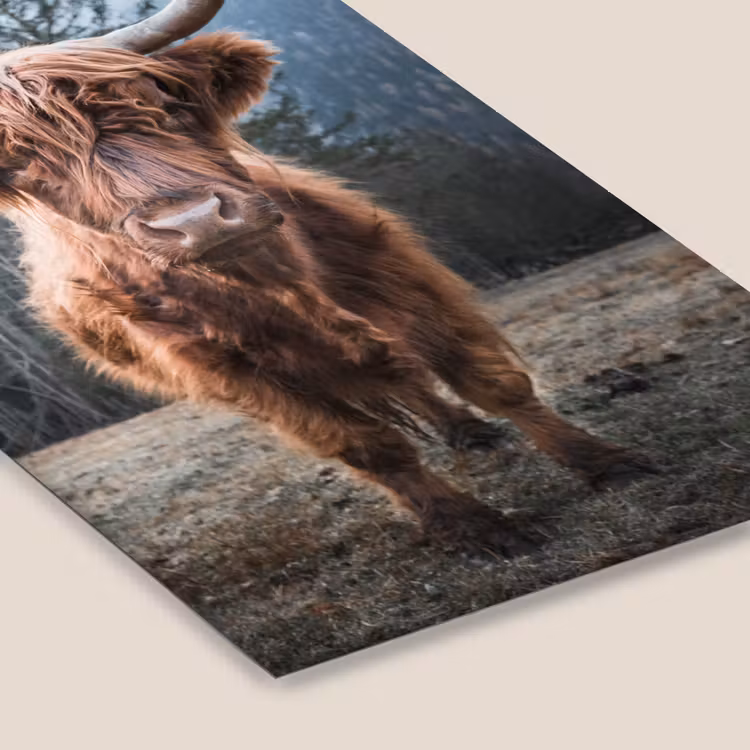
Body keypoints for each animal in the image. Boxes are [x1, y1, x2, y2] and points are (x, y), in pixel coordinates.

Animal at [0, 0, 656, 555]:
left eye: (157, 100)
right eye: (27, 165)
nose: (197, 222)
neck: (277, 281)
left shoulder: (394, 278)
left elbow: (488, 380)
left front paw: (605, 461)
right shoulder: (240, 374)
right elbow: (368, 448)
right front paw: (475, 529)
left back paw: (470, 431)